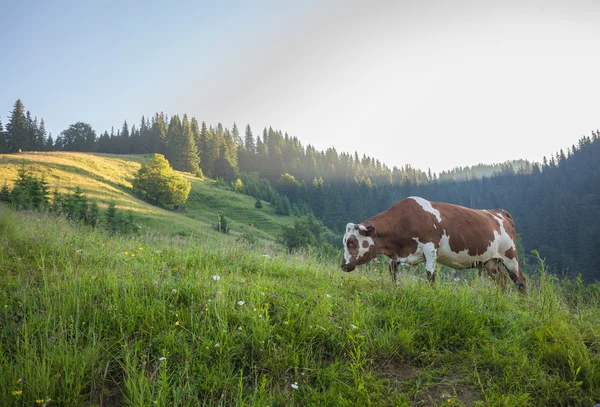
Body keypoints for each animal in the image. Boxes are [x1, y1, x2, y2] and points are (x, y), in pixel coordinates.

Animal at [340, 198, 528, 294]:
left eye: (351, 242)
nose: (343, 265)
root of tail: (499, 212)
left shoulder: (430, 248)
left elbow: (430, 276)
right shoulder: (401, 254)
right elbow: (392, 270)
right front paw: (395, 288)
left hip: (510, 255)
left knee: (520, 280)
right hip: (489, 261)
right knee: (502, 280)